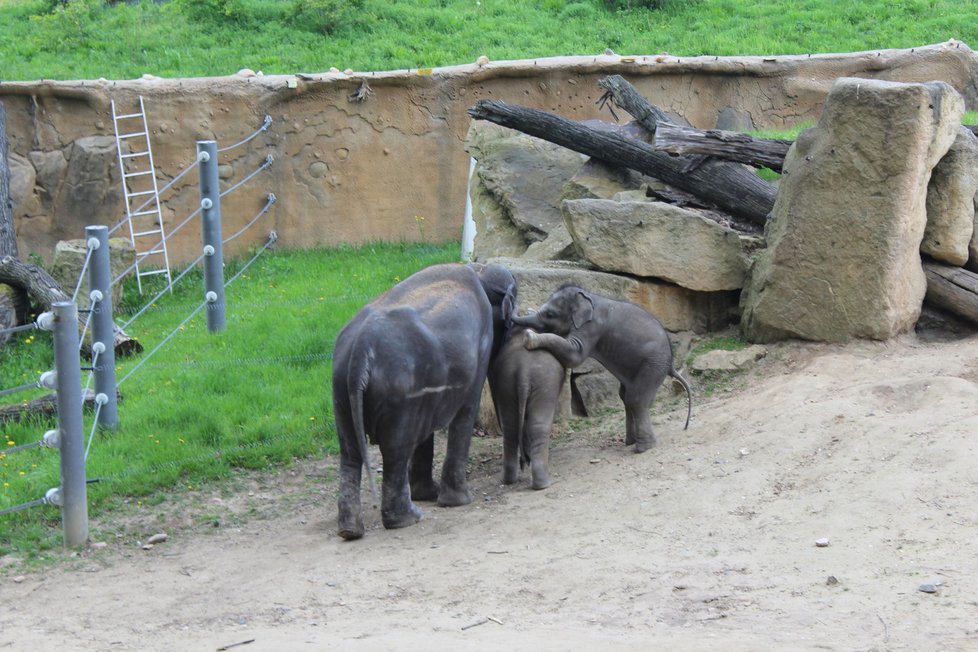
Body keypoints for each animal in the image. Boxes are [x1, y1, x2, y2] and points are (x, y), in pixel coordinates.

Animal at [334, 262, 520, 540]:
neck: (478, 269)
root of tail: (361, 348)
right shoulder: (481, 343)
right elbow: (467, 409)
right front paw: (457, 501)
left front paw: (428, 495)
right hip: (399, 388)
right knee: (395, 450)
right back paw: (407, 519)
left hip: (342, 388)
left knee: (350, 452)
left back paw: (350, 531)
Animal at [488, 326, 564, 488]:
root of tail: (523, 372)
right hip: (545, 385)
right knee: (539, 427)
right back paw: (543, 484)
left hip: (506, 383)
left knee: (510, 429)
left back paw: (508, 480)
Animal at [508, 286, 692, 454]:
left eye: (550, 314)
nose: (514, 301)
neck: (586, 296)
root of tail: (671, 364)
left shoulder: (592, 326)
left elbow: (575, 355)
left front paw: (529, 337)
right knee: (625, 396)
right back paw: (630, 442)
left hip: (653, 364)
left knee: (635, 398)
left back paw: (642, 448)